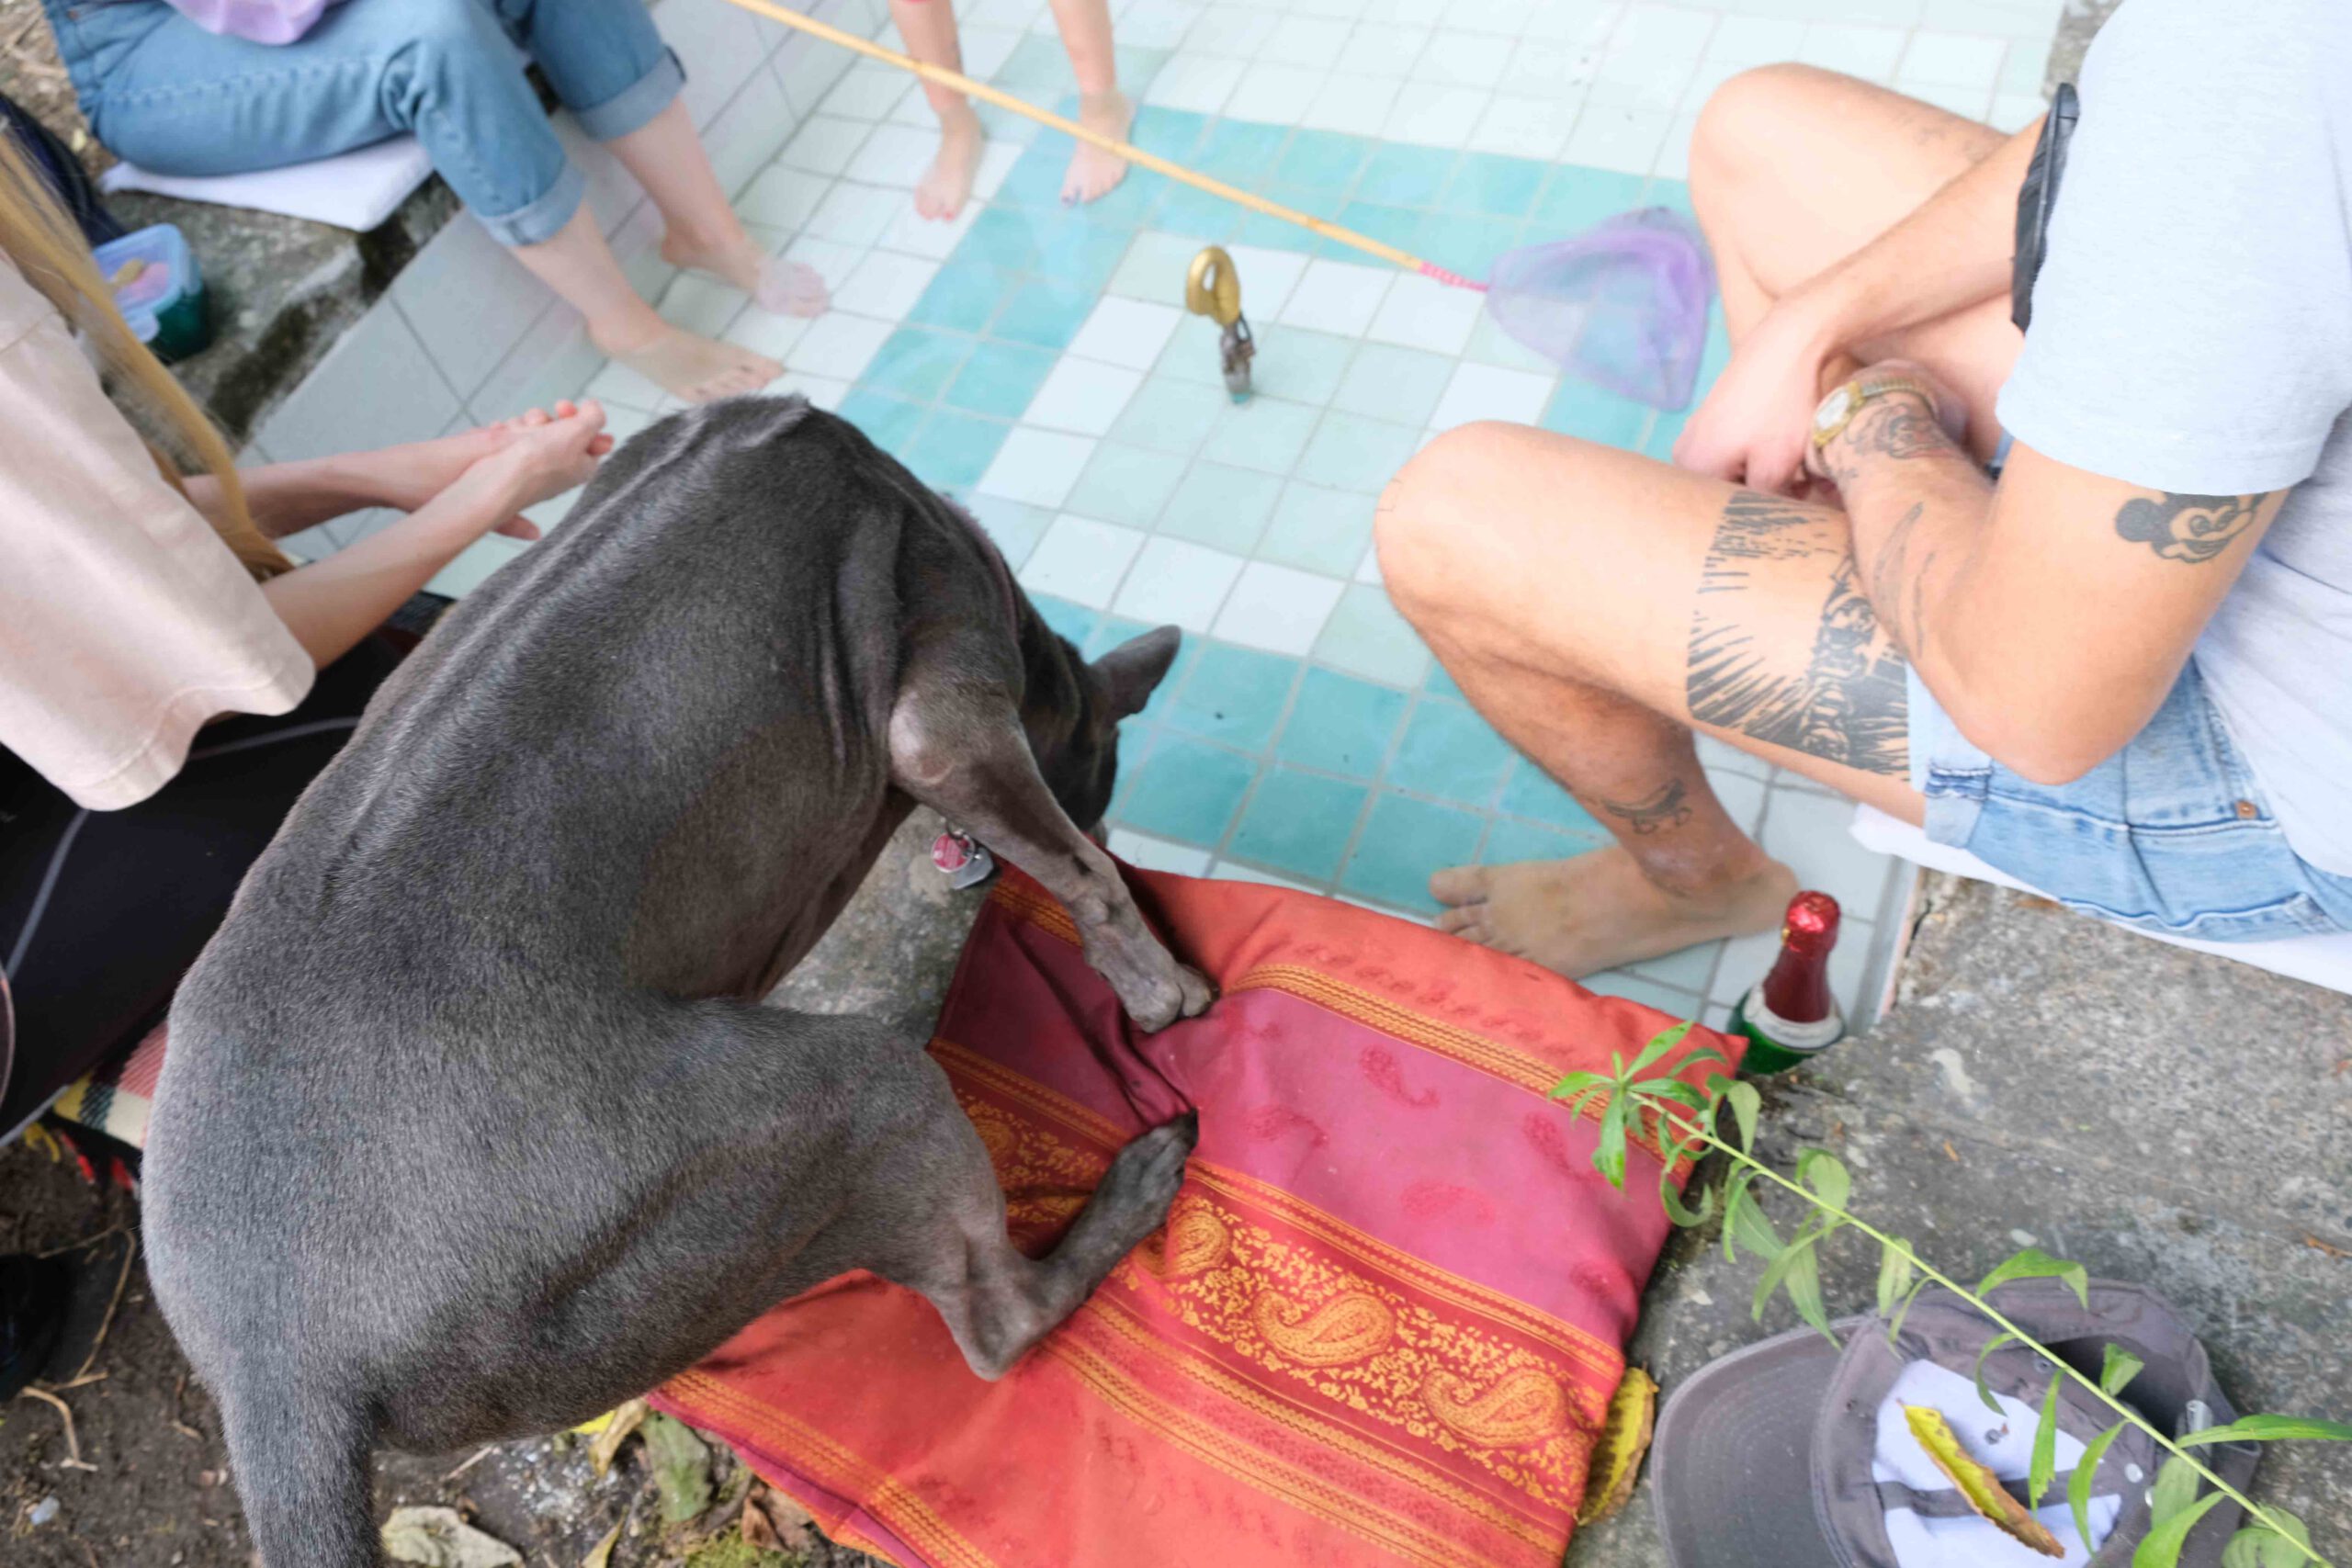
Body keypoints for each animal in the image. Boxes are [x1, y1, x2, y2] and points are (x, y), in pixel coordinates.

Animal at [143, 397, 1211, 1567]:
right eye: (1104, 790)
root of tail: (277, 1374)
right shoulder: (944, 721)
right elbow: (1077, 871)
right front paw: (1163, 985)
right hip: (835, 1101)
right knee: (993, 1322)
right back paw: (1134, 1191)